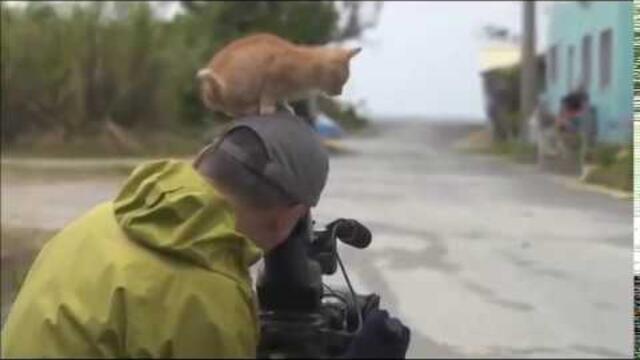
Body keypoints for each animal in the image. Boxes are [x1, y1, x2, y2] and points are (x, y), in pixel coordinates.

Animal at [198, 32, 360, 116]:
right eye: (341, 82)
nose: (339, 93)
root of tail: (208, 94)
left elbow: (282, 98)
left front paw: (286, 106)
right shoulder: (273, 77)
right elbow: (269, 95)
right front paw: (268, 108)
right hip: (242, 84)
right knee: (233, 108)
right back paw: (250, 108)